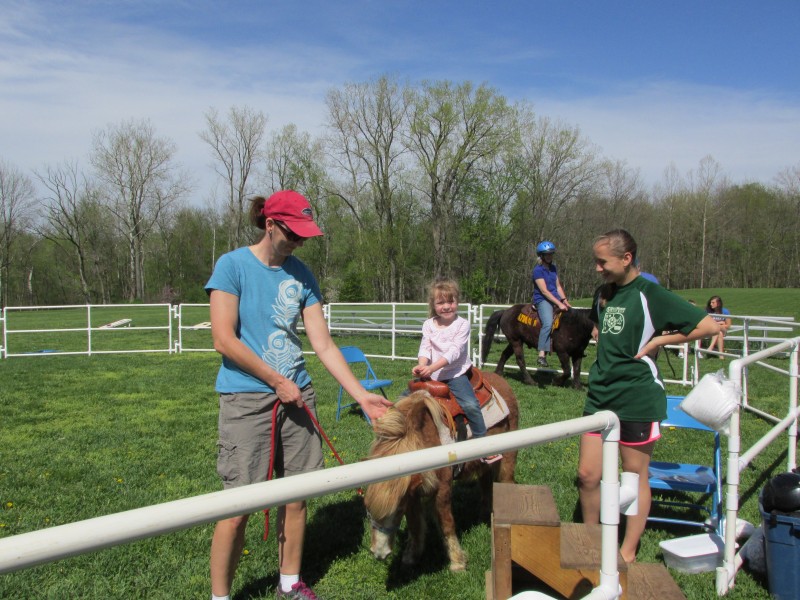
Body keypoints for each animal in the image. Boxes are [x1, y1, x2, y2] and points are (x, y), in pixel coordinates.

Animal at [364, 370, 520, 572]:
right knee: (486, 485)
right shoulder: (411, 494)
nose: (379, 553)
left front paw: (457, 563)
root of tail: (500, 380)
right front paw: (411, 557)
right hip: (484, 464)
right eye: (367, 508)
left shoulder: (442, 488)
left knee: (507, 481)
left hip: (509, 457)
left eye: (397, 510)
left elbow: (446, 524)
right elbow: (415, 524)